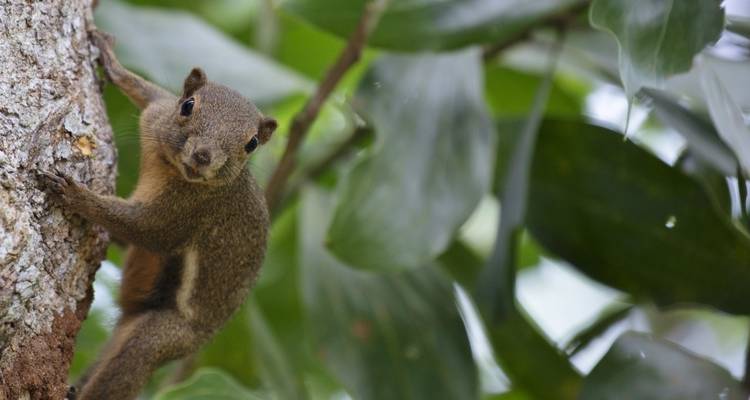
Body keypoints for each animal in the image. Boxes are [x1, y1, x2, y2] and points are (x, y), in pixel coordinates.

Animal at [38, 30, 277, 400]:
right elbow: (148, 91)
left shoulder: (187, 212)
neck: (168, 164)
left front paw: (75, 194)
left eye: (252, 143)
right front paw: (112, 62)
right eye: (188, 105)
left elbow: (146, 230)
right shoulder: (157, 112)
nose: (204, 155)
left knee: (129, 367)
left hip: (158, 338)